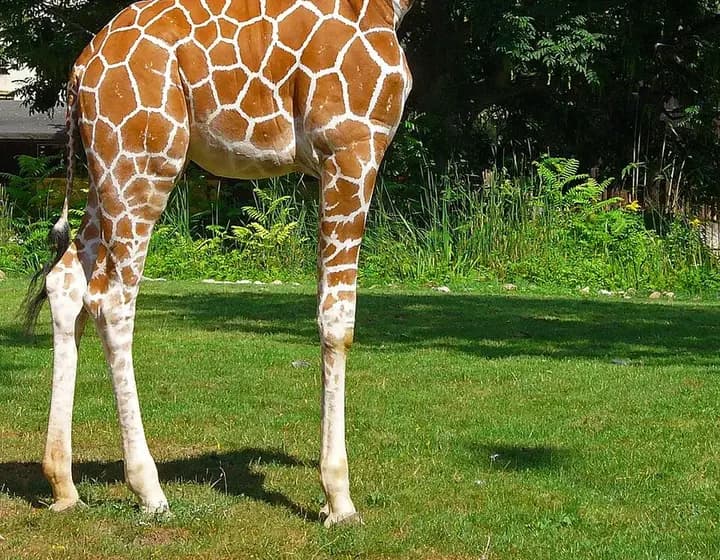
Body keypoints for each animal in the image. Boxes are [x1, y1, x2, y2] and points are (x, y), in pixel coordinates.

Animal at [24, 0, 414, 526]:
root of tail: (81, 68)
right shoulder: (350, 147)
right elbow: (338, 323)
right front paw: (339, 500)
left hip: (107, 170)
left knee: (67, 282)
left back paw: (63, 484)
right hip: (144, 162)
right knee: (112, 299)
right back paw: (149, 490)